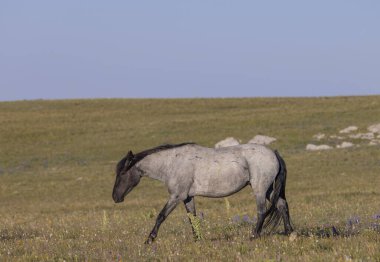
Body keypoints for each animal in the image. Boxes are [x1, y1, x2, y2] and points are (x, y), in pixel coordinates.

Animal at [111, 143, 292, 244]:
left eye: (122, 173)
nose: (115, 197)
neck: (172, 163)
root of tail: (273, 153)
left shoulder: (176, 196)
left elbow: (161, 216)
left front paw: (149, 239)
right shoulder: (187, 197)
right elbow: (193, 218)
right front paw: (197, 239)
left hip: (260, 189)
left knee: (261, 211)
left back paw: (254, 235)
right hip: (269, 190)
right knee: (282, 205)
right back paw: (290, 232)